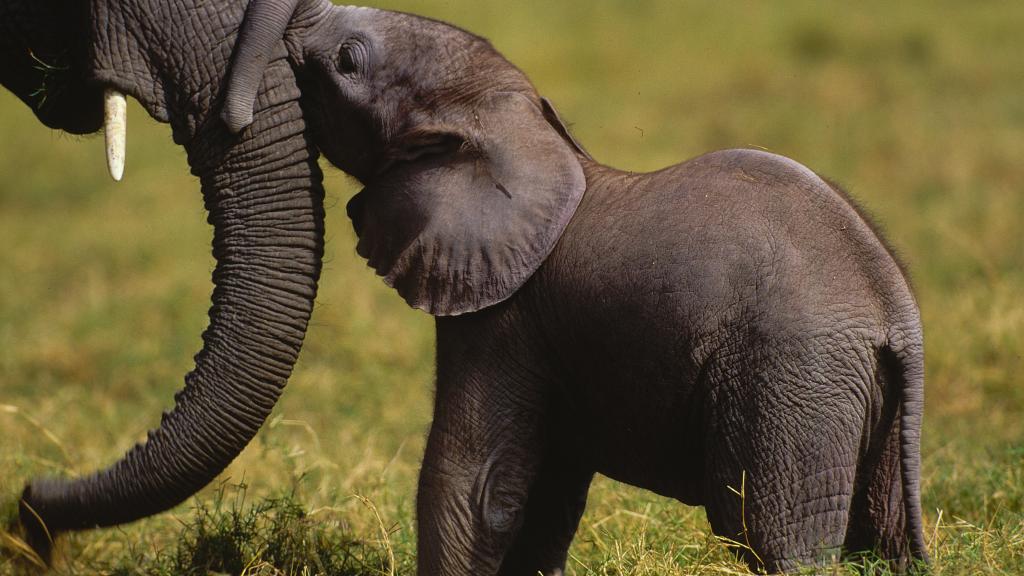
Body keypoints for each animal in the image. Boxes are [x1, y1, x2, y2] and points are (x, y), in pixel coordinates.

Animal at [213, 1, 929, 574]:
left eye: (348, 61)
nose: (235, 113)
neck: (526, 129)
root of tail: (895, 312)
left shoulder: (505, 316)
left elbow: (473, 484)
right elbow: (547, 495)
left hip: (792, 380)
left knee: (772, 536)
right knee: (883, 538)